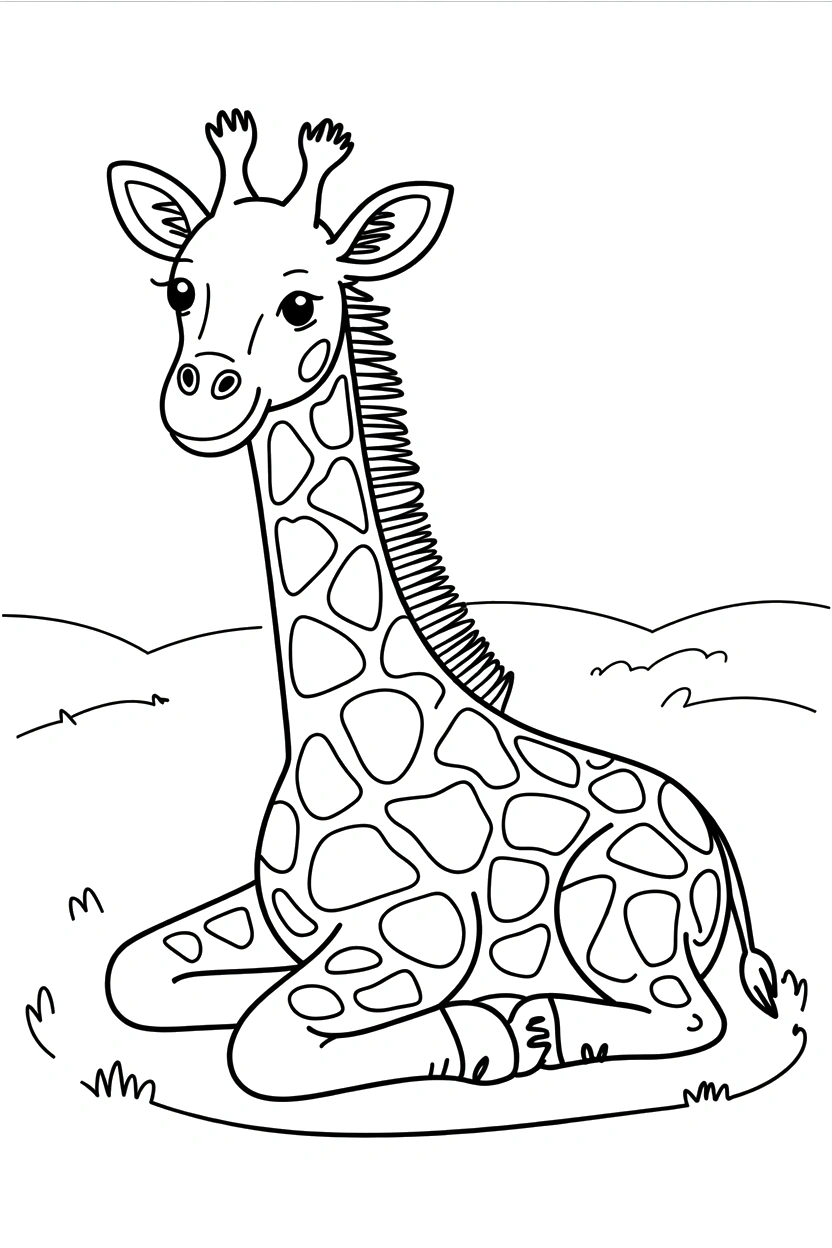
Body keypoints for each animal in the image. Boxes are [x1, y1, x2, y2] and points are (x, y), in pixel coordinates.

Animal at [105, 112, 779, 1102]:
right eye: (180, 289)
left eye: (302, 303)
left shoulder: (409, 939)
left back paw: (536, 1025)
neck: (325, 725)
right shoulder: (272, 916)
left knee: (692, 1018)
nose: (201, 396)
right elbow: (136, 974)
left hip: (610, 916)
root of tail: (723, 861)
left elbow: (264, 1046)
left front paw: (477, 1036)